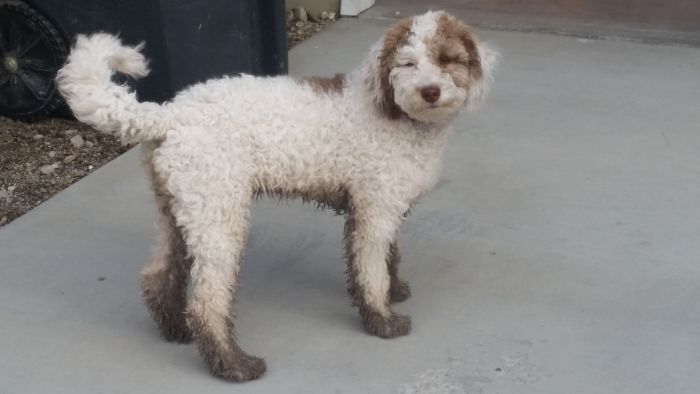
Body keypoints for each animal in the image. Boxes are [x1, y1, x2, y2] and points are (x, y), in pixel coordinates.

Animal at [58, 10, 498, 382]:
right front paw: (382, 319)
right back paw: (234, 365)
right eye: (407, 64)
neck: (393, 113)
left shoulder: (383, 206)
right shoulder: (374, 210)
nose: (430, 91)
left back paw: (177, 329)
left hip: (182, 208)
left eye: (447, 59)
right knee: (207, 302)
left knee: (157, 274)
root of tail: (169, 114)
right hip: (220, 217)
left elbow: (390, 255)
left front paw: (395, 290)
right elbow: (370, 269)